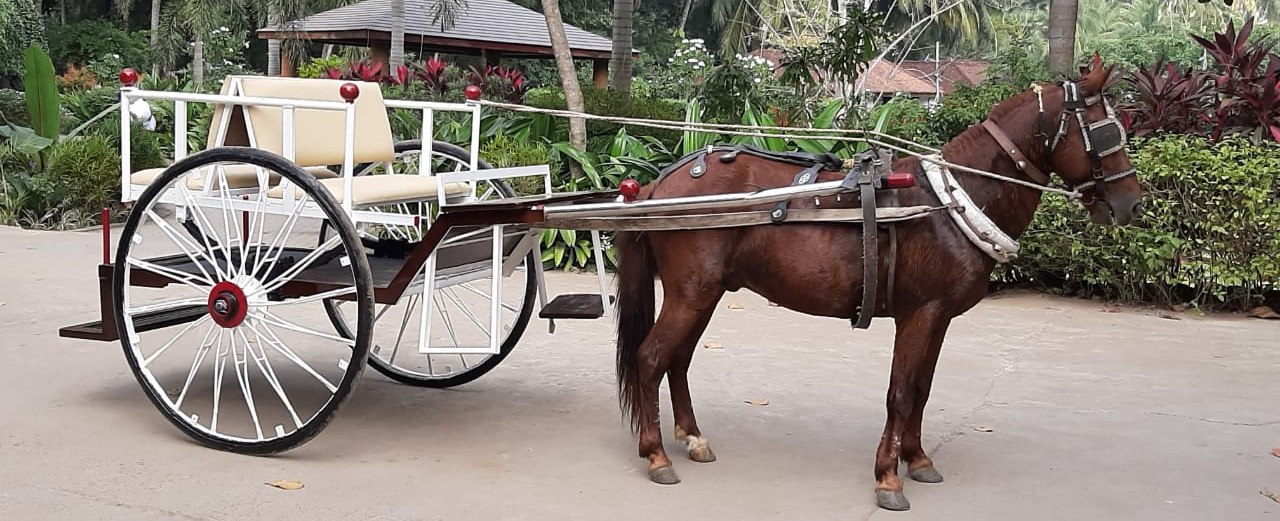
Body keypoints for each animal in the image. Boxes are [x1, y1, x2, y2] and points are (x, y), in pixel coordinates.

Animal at [611, 60, 1142, 511]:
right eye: (1106, 131)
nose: (1131, 204)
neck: (948, 204)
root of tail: (659, 185)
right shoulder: (919, 314)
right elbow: (901, 393)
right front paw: (888, 478)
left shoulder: (937, 317)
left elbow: (922, 389)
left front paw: (918, 459)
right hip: (693, 291)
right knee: (651, 358)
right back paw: (656, 453)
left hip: (707, 292)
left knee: (678, 359)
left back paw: (692, 437)